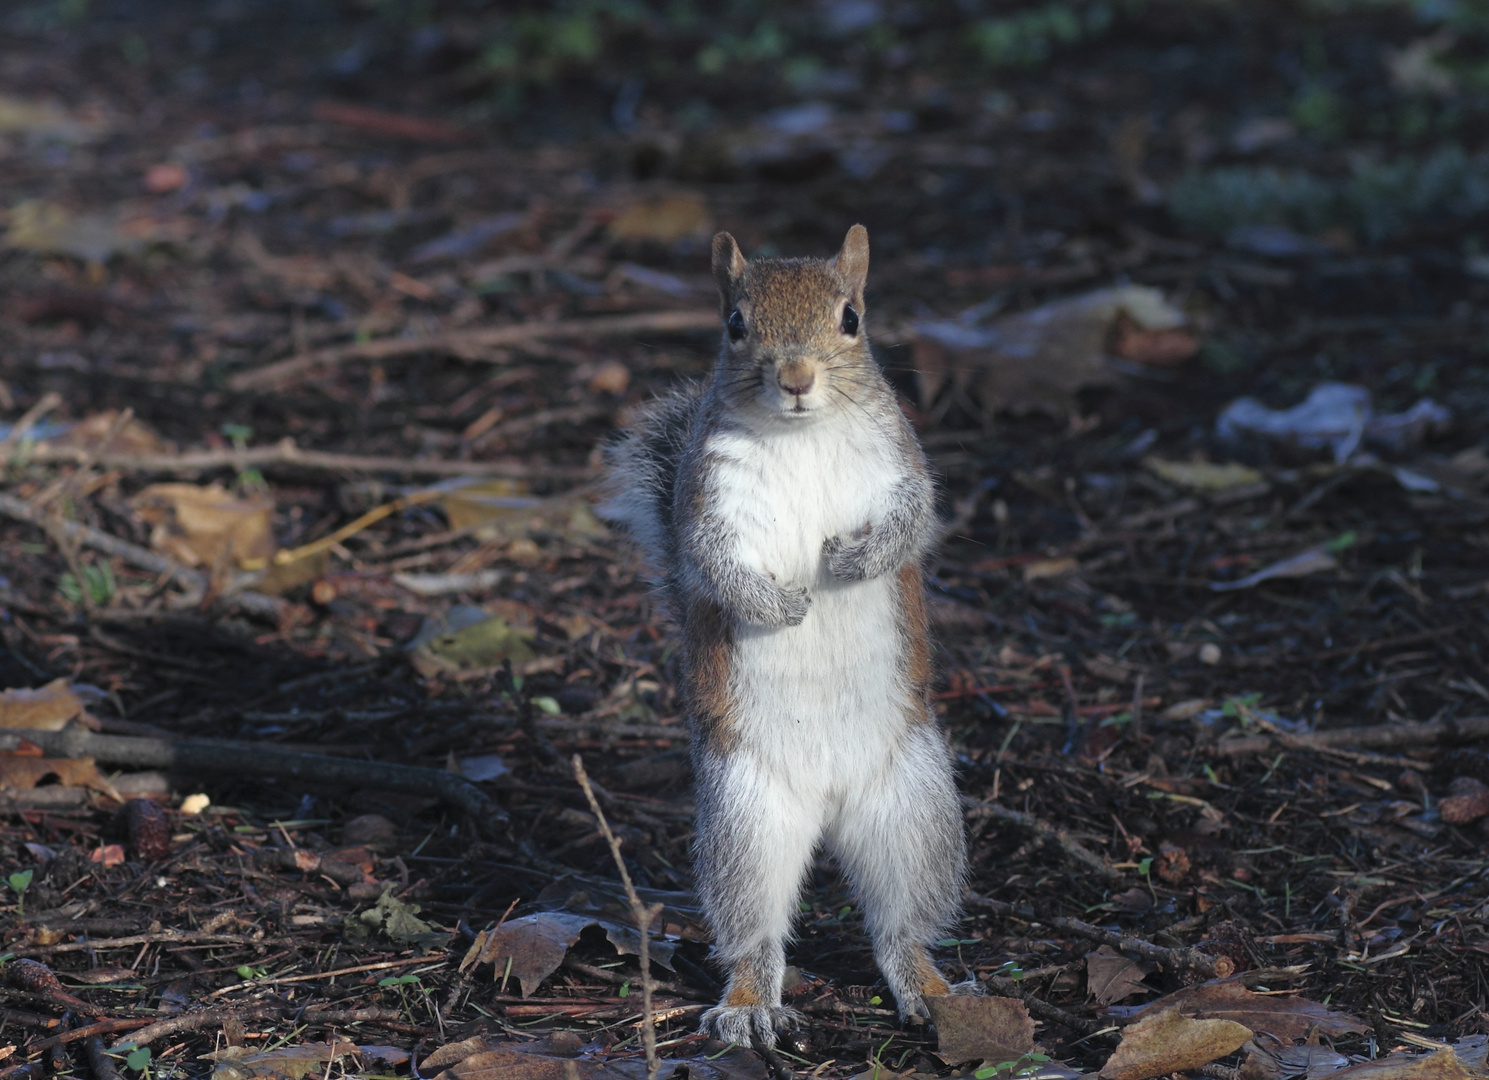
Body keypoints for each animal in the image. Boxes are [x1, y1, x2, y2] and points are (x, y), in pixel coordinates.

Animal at [601, 223, 964, 1042]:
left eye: (851, 318)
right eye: (735, 324)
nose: (796, 376)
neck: (802, 435)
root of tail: (826, 803)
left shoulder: (903, 463)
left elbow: (911, 521)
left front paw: (854, 558)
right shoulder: (707, 497)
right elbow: (710, 559)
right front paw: (778, 608)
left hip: (913, 807)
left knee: (900, 926)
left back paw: (932, 991)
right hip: (746, 819)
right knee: (754, 931)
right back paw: (747, 1005)